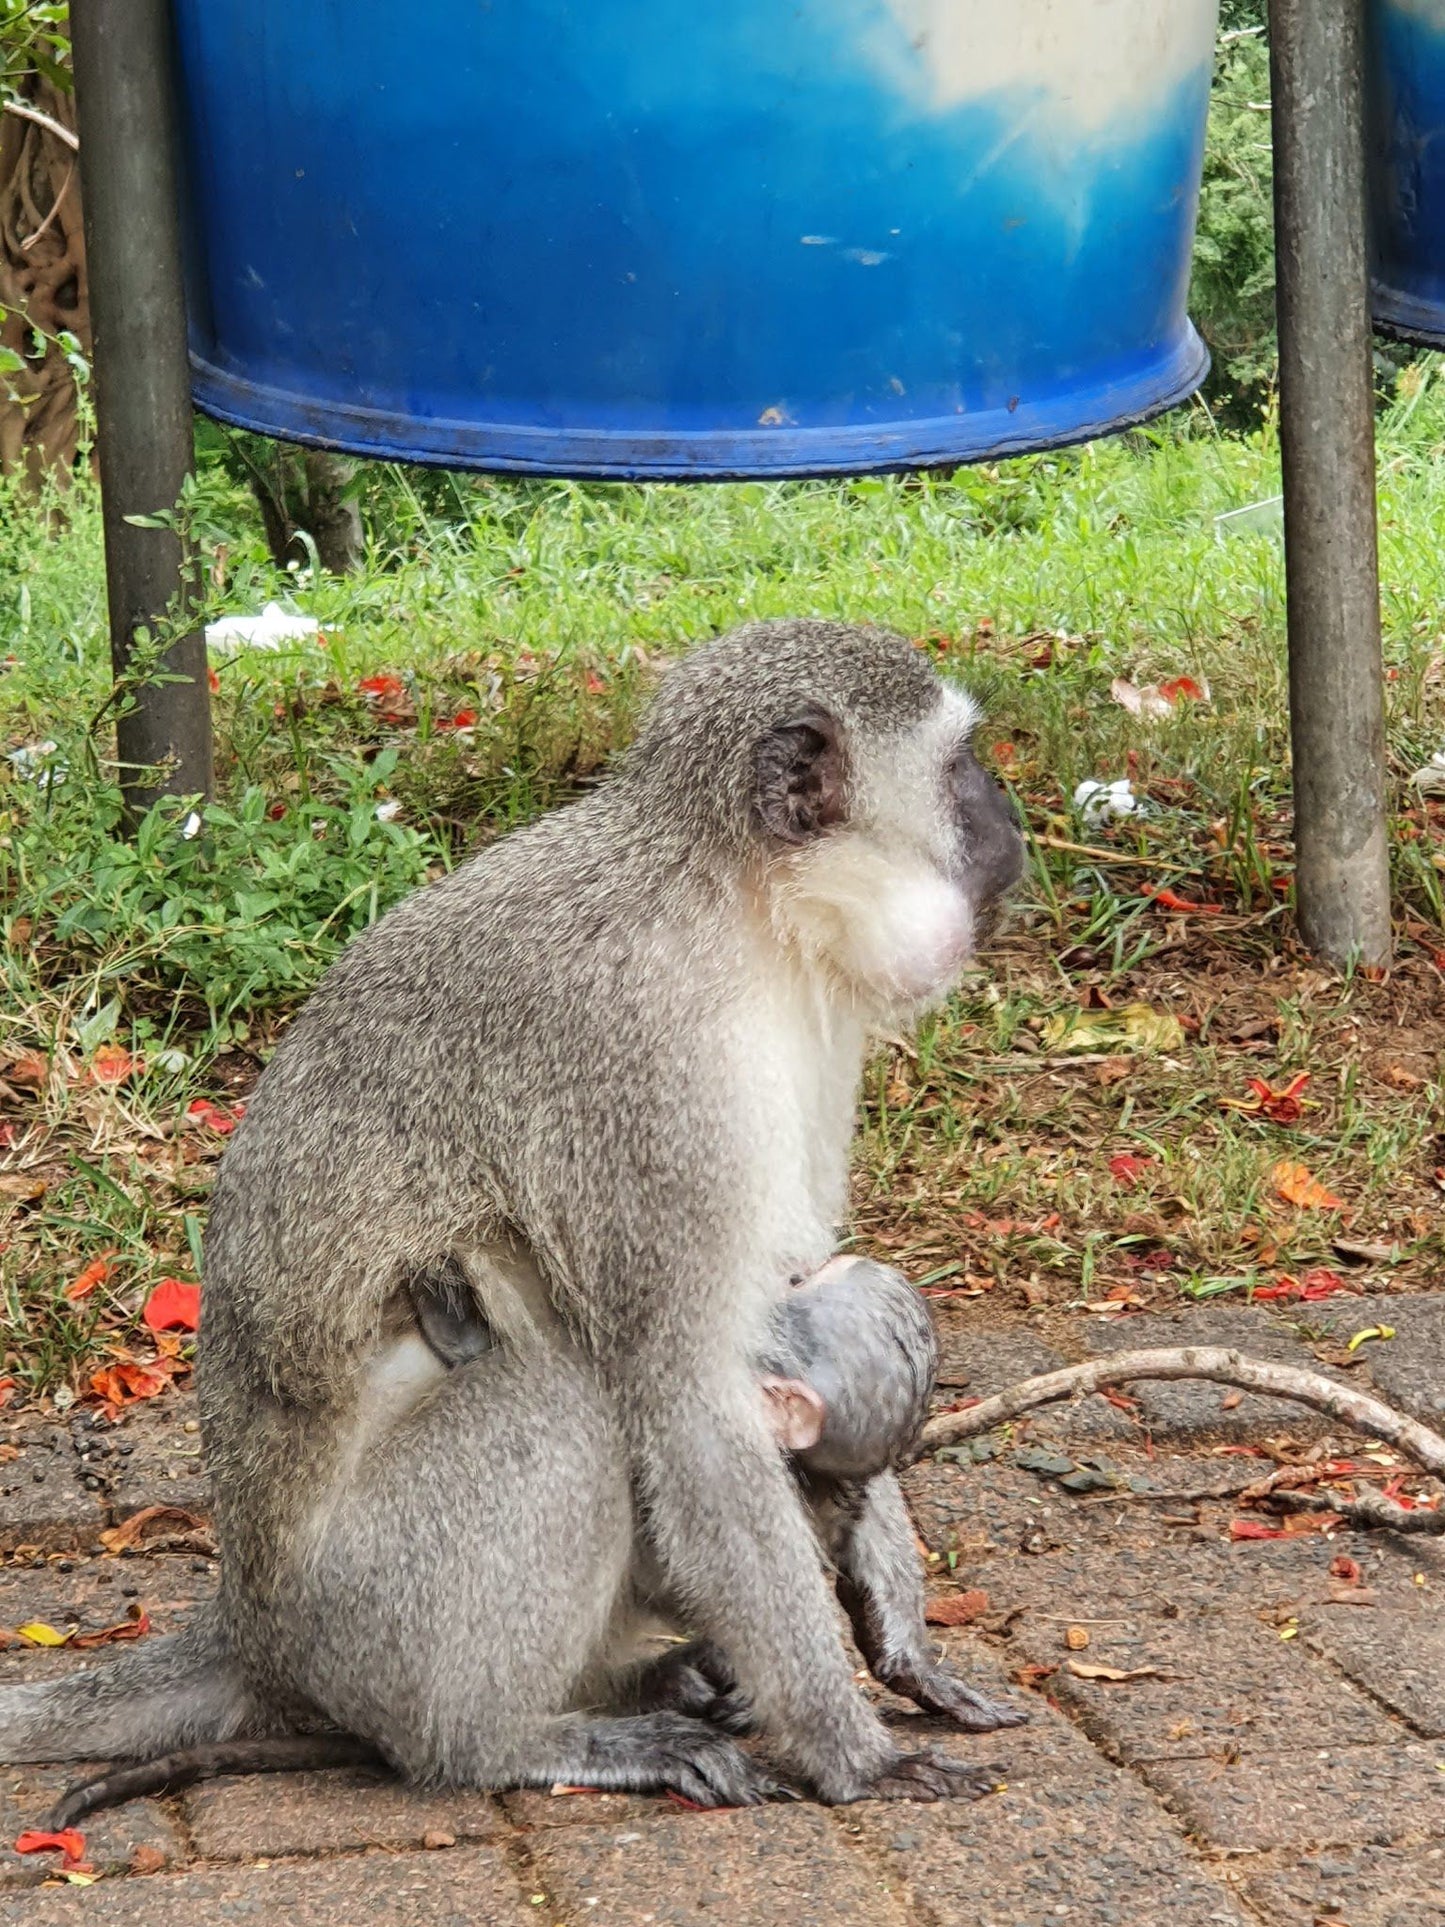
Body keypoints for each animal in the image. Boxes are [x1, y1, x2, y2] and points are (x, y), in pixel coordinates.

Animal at [45, 1256, 1017, 1826]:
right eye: (798, 1283)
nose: (789, 1262)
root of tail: (252, 1619)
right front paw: (903, 1655)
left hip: (363, 1606)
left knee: (561, 1396)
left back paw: (497, 1743)